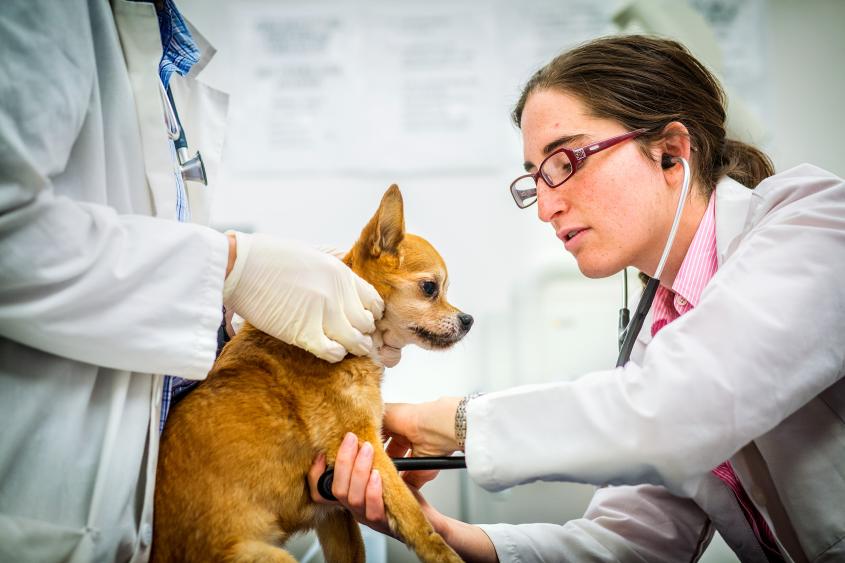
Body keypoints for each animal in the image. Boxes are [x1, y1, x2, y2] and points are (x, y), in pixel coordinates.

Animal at [152, 186, 468, 563]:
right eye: (431, 288)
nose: (468, 320)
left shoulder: (333, 512)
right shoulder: (366, 445)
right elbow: (414, 516)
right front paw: (444, 553)